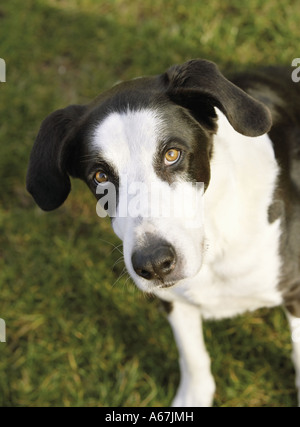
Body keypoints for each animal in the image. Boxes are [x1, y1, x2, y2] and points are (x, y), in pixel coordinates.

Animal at [26, 60, 300, 408]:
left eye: (172, 154)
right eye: (100, 176)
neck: (213, 241)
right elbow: (192, 355)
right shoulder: (172, 300)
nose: (154, 264)